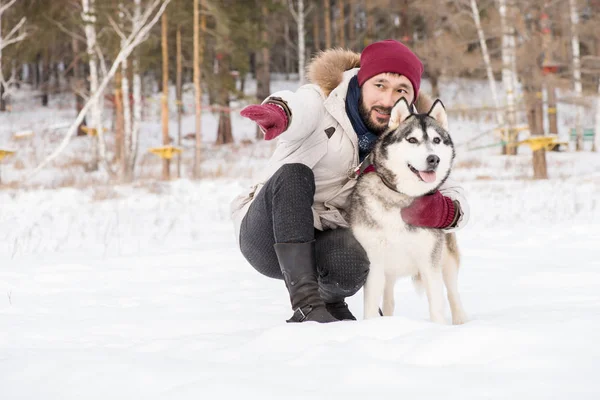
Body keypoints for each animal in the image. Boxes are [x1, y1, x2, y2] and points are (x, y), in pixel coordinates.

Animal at [346, 97, 468, 324]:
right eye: (412, 140)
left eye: (437, 140)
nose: (433, 159)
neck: (402, 197)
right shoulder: (374, 262)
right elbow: (371, 306)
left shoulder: (430, 262)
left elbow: (437, 304)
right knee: (388, 300)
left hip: (447, 260)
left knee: (453, 293)